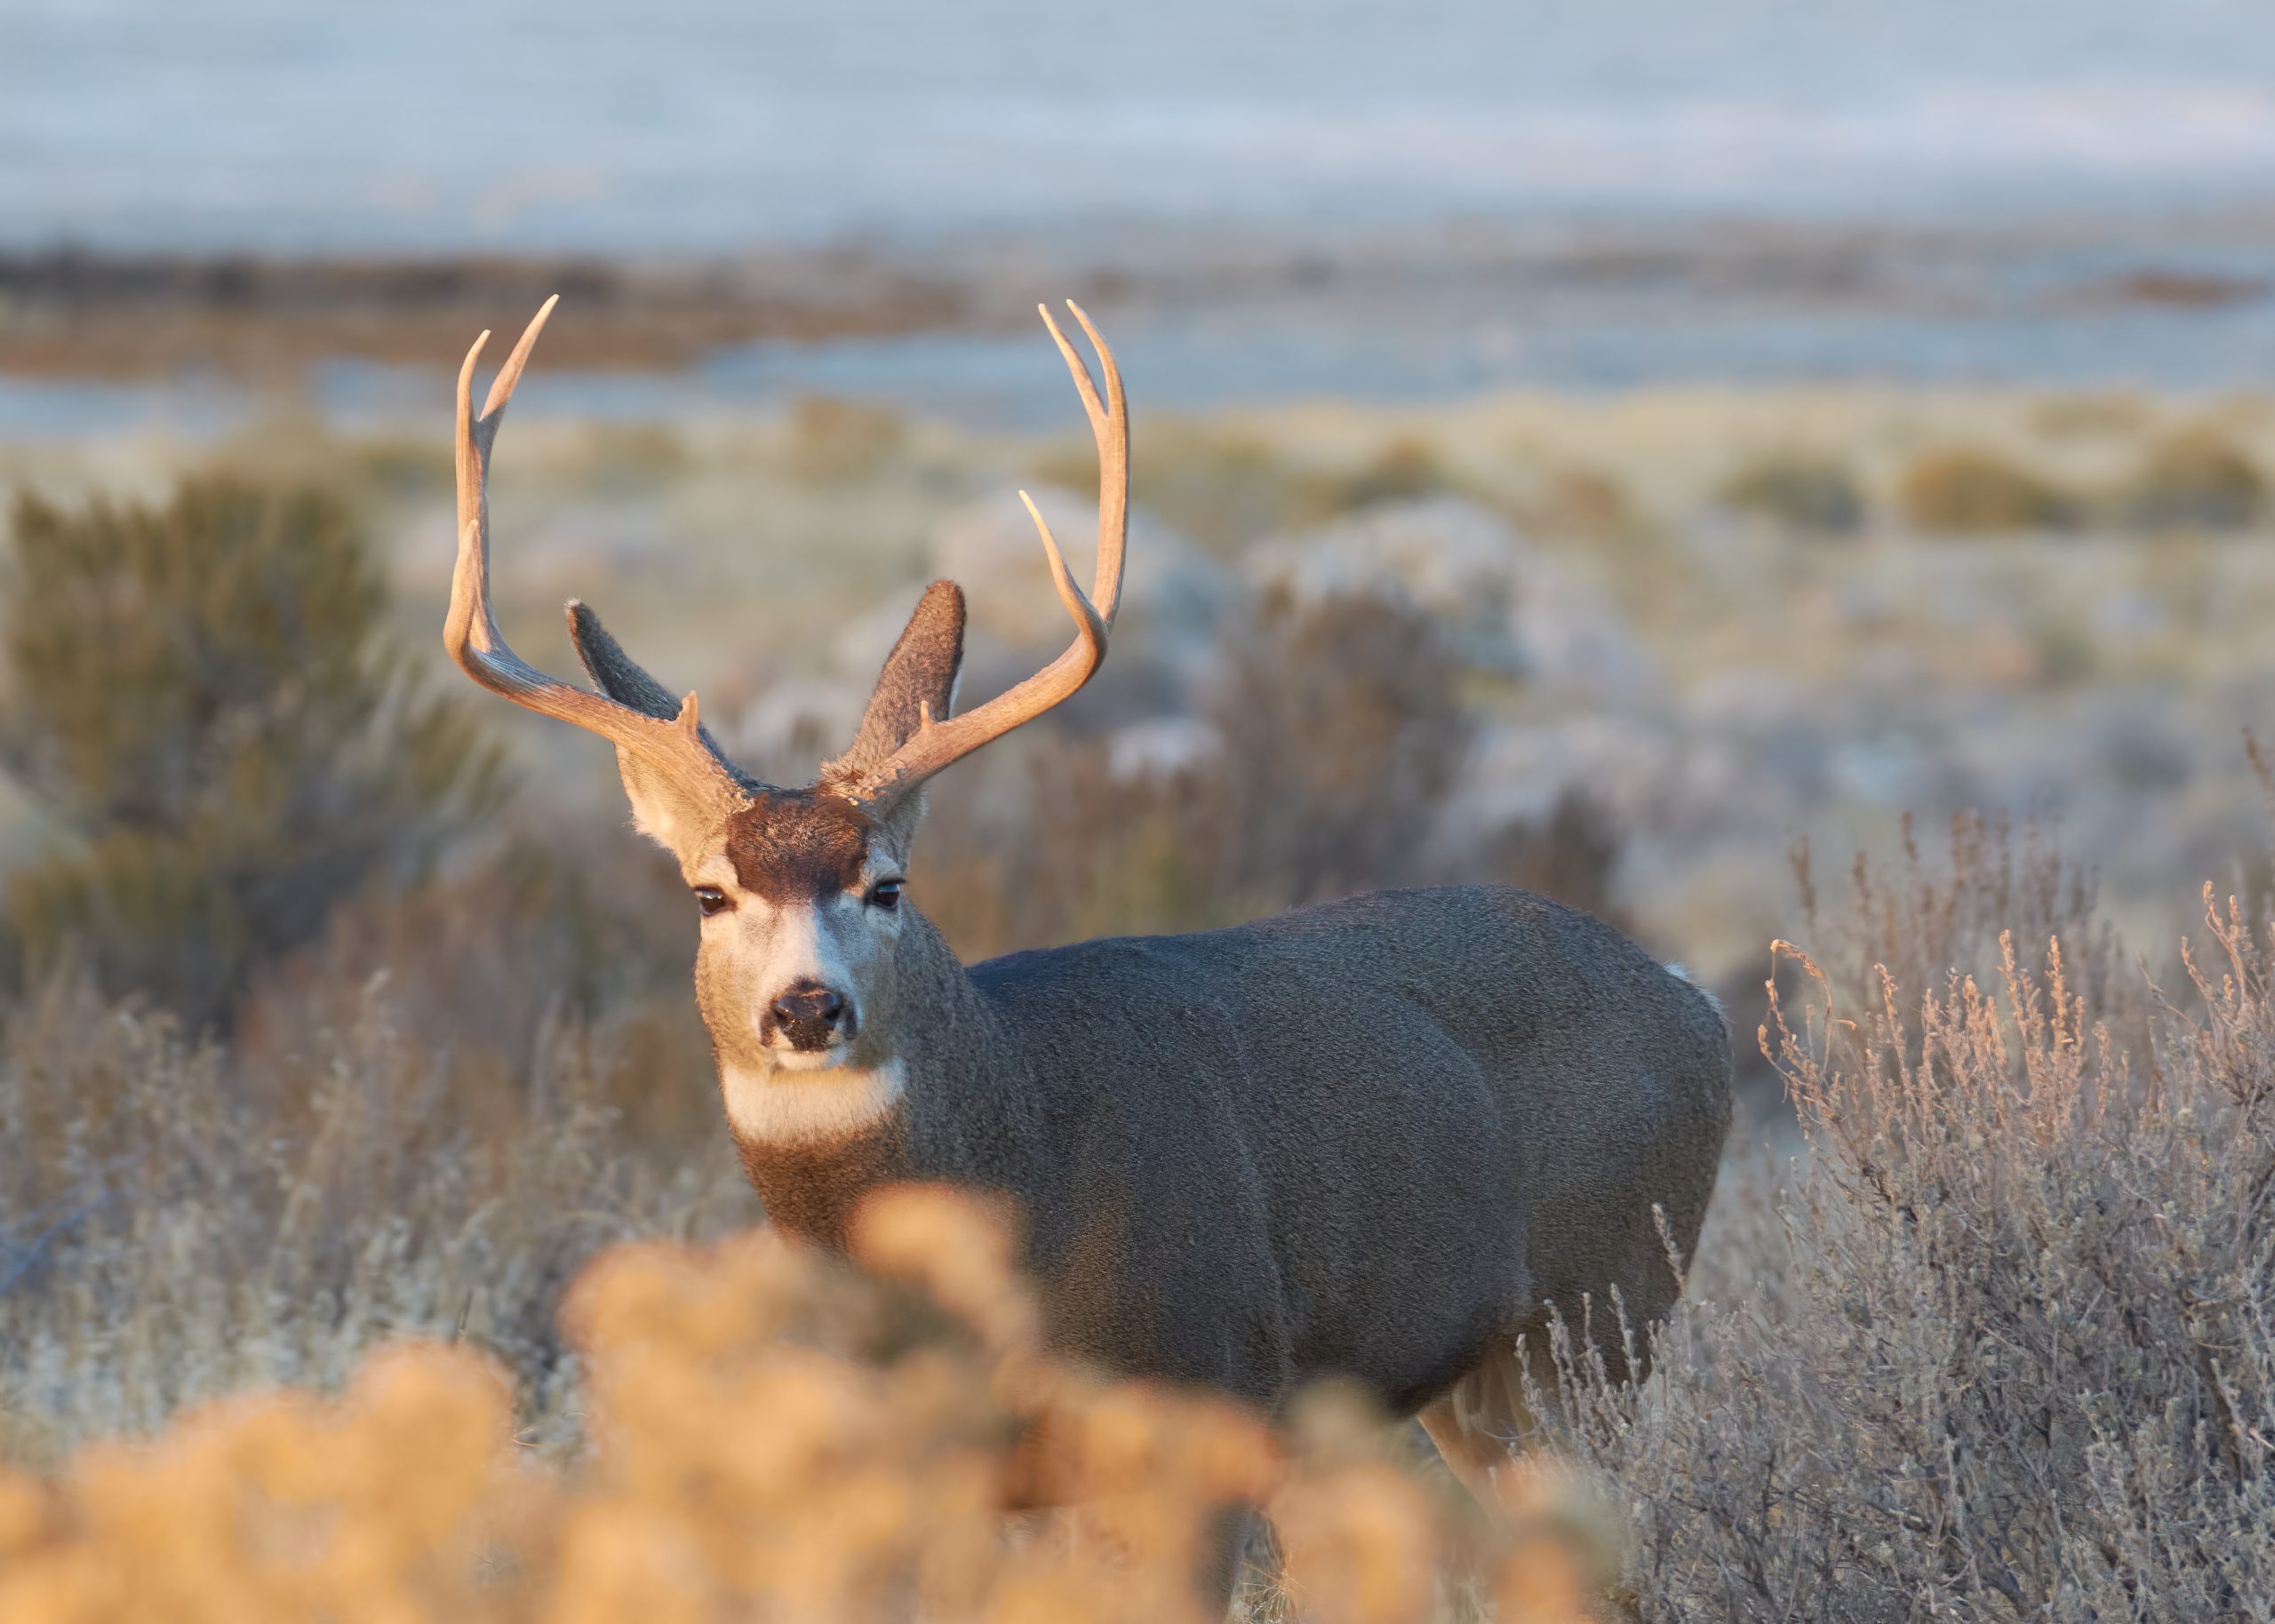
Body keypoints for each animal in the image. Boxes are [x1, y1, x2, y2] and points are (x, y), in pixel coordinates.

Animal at [446, 296, 1732, 1601]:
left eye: (887, 885)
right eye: (710, 895)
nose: (807, 1008)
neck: (1016, 1173)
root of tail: (1695, 1000)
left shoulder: (1199, 1392)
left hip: (1601, 1314)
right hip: (1448, 1391)